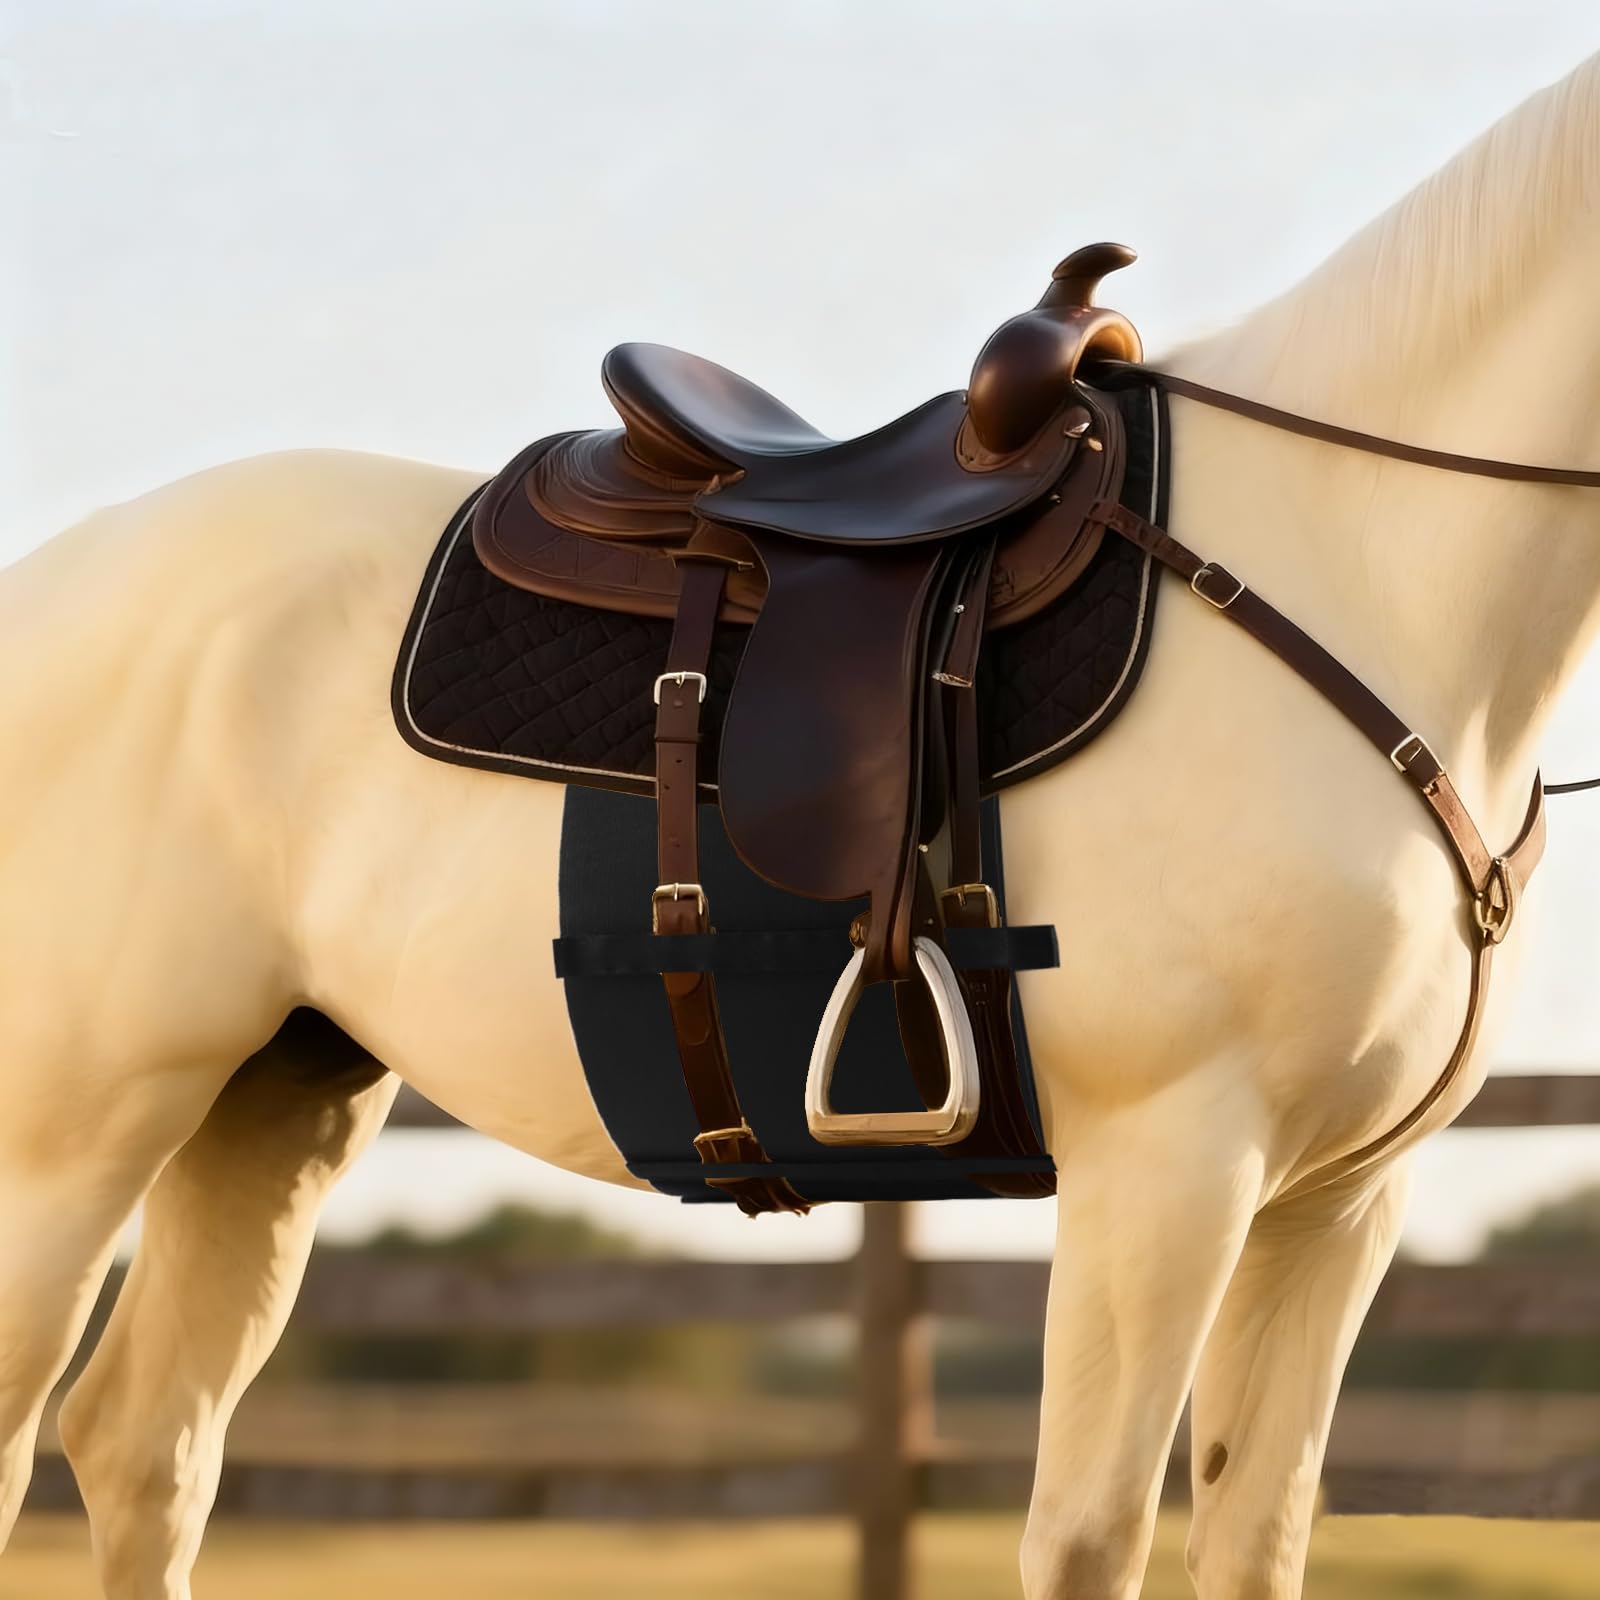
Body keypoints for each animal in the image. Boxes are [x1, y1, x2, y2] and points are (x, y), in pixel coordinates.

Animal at [2, 50, 1597, 1600]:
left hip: (272, 1097)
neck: (1345, 556)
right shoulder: (1172, 1163)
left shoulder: (1336, 1202)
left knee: (145, 1448)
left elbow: (1254, 1539)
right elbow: (1088, 1540)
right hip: (77, 1132)